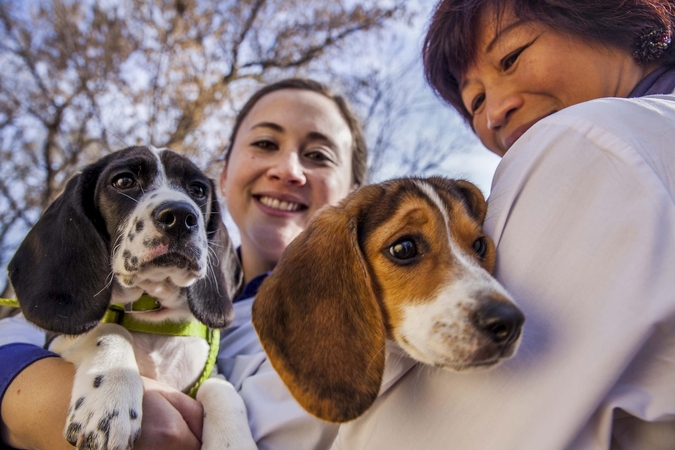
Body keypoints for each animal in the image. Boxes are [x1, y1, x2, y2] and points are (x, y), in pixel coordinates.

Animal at [7, 147, 256, 450]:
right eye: (124, 181)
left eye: (197, 189)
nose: (181, 216)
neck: (150, 313)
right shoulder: (58, 341)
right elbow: (110, 328)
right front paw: (110, 400)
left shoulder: (208, 373)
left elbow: (221, 387)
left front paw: (233, 439)